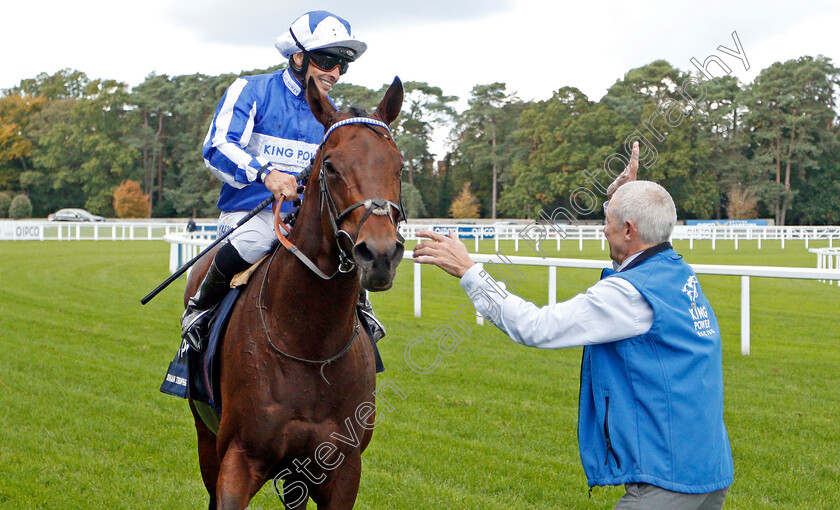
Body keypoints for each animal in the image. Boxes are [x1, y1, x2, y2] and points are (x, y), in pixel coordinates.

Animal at [185, 75, 406, 510]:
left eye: (399, 165)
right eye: (332, 166)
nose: (380, 254)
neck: (310, 342)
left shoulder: (342, 467)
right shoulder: (239, 457)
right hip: (205, 437)